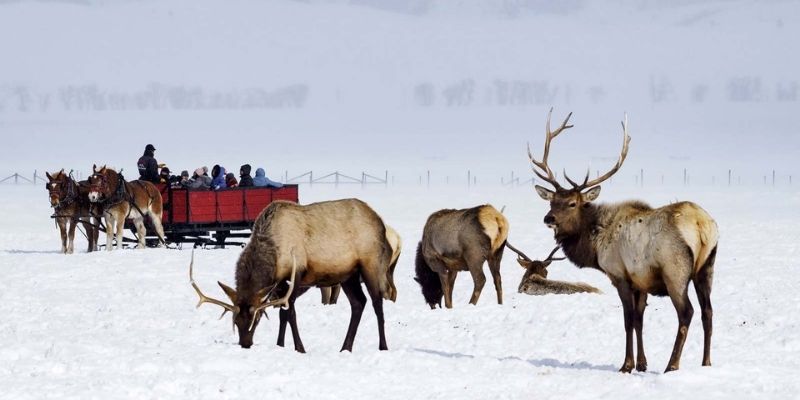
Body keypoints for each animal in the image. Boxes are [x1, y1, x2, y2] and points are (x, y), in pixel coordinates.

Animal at [188, 198, 394, 352]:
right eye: (235, 321)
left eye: (256, 319)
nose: (245, 344)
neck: (273, 253)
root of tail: (380, 222)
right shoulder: (278, 284)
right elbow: (283, 314)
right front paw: (280, 344)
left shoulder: (297, 274)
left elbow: (291, 313)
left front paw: (299, 348)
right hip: (347, 275)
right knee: (359, 303)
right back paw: (345, 347)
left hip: (371, 264)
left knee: (377, 302)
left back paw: (383, 346)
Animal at [528, 109, 720, 372]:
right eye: (552, 201)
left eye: (572, 203)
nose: (548, 218)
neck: (594, 246)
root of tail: (702, 225)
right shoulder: (641, 281)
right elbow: (639, 320)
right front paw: (642, 363)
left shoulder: (620, 275)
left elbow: (628, 320)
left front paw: (627, 365)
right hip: (707, 267)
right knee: (708, 312)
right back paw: (706, 362)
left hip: (675, 270)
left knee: (687, 312)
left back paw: (672, 365)